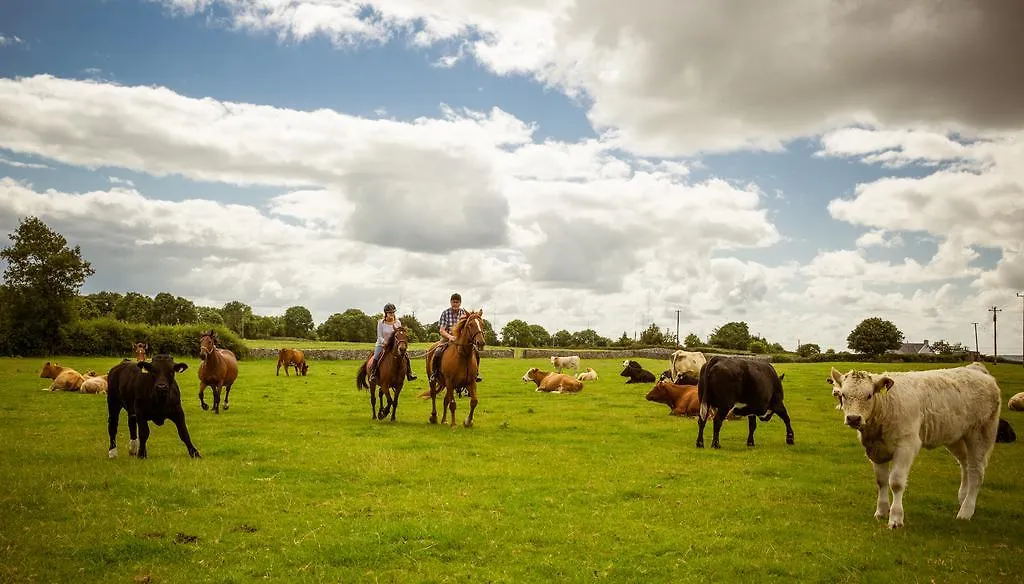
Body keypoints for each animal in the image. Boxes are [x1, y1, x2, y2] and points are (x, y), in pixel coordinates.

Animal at [827, 358, 1003, 528]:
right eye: (843, 395)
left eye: (869, 395)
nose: (853, 418)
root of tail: (976, 368)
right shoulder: (876, 450)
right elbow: (881, 481)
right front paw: (881, 512)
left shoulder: (906, 445)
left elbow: (896, 482)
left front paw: (895, 519)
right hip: (956, 436)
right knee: (966, 464)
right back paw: (963, 498)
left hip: (980, 434)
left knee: (976, 472)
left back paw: (965, 512)